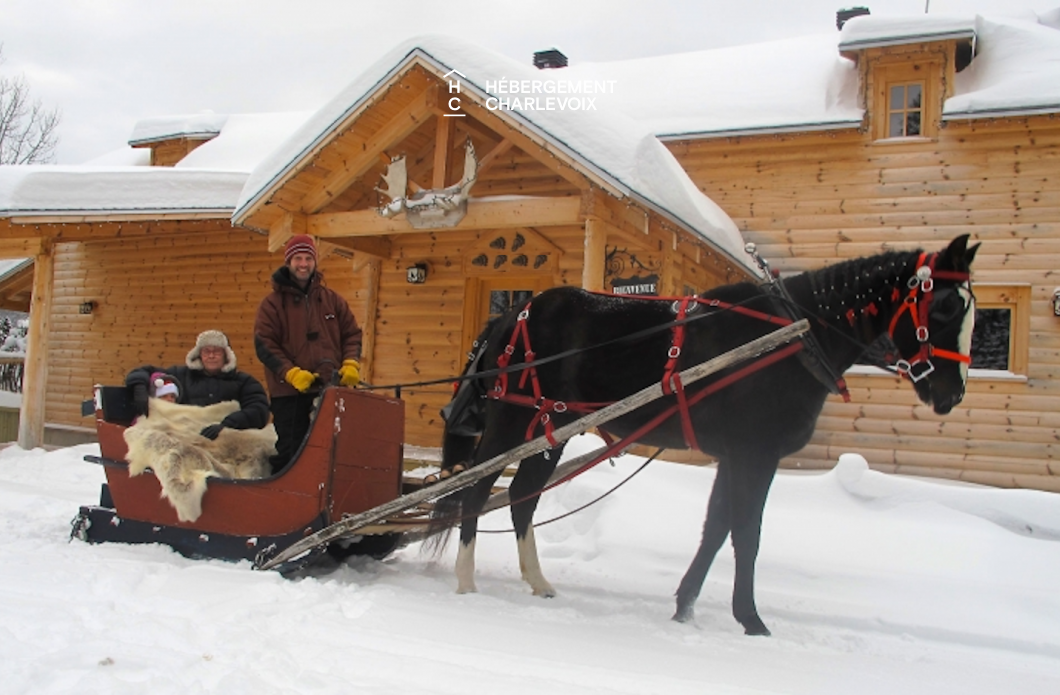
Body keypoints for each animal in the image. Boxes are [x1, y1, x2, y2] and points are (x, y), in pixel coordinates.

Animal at [428, 235, 975, 635]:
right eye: (946, 306)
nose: (952, 393)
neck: (791, 337)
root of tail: (509, 316)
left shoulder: (733, 456)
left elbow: (716, 530)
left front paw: (685, 606)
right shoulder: (755, 453)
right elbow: (746, 534)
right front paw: (751, 620)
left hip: (550, 429)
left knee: (521, 498)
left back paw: (538, 581)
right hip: (509, 423)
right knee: (475, 491)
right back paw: (466, 579)